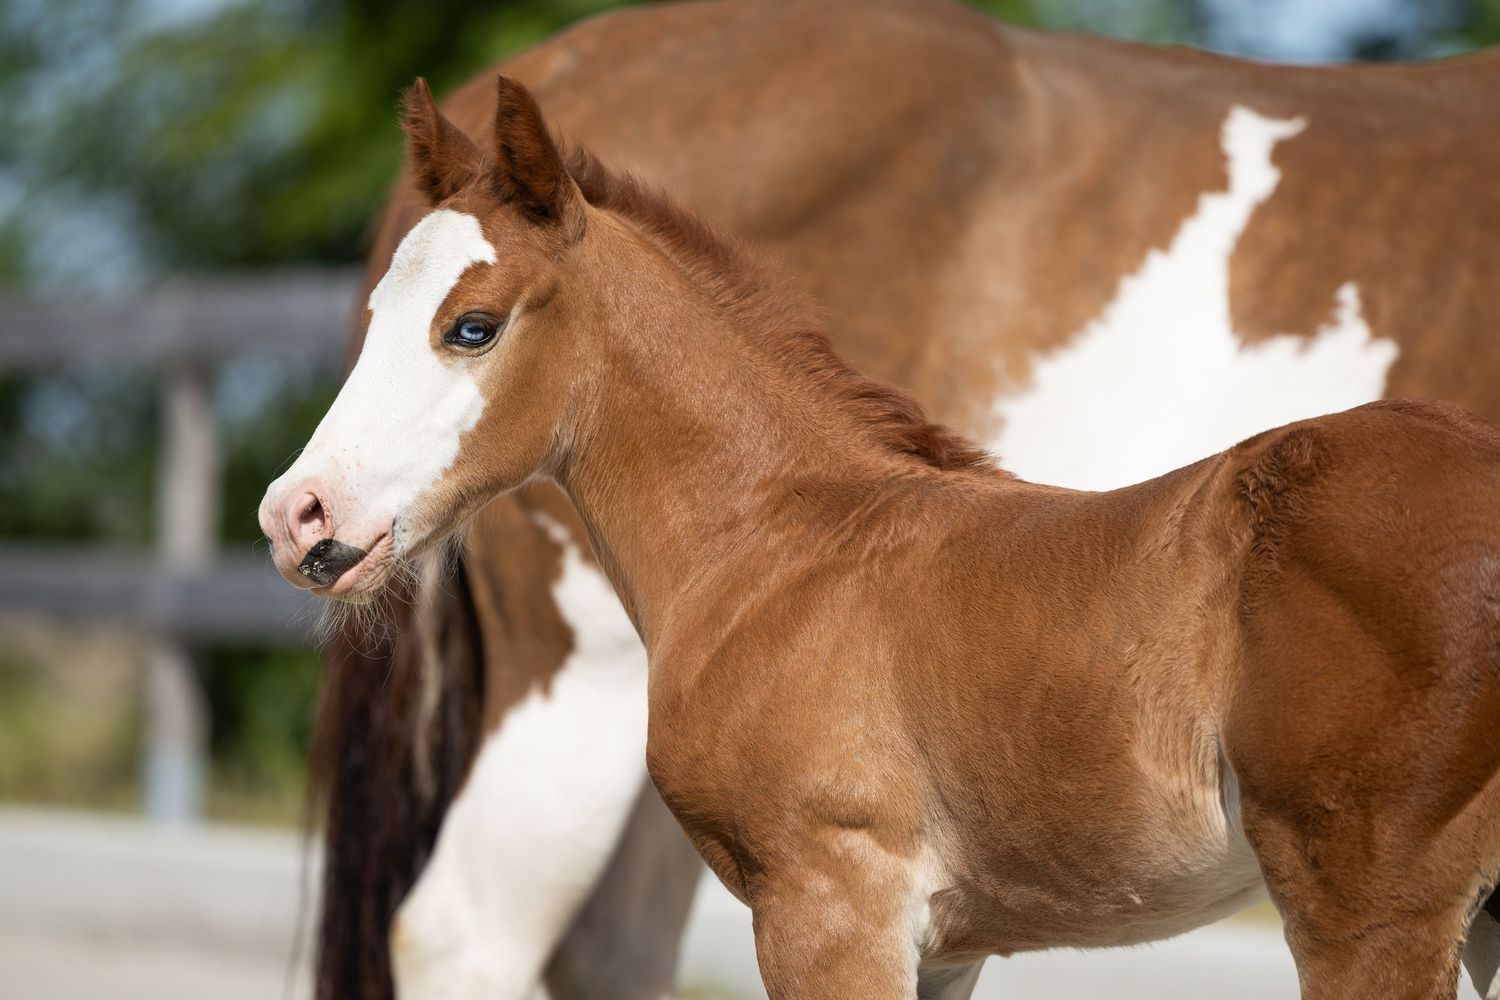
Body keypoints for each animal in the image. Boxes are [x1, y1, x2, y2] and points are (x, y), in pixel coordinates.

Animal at [309, 1, 1500, 996]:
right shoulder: (940, 937)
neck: (785, 541)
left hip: (1370, 907)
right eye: (370, 316)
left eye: (471, 326)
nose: (301, 514)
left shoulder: (830, 905)